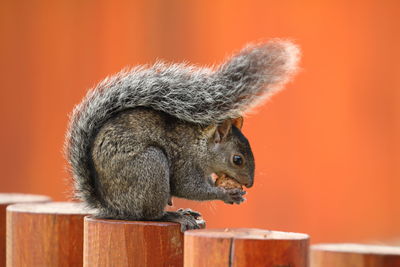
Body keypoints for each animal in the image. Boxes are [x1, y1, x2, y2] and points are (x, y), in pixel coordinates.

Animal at [64, 40, 298, 232]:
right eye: (237, 159)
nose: (249, 184)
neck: (199, 145)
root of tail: (111, 206)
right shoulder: (185, 163)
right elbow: (189, 188)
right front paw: (226, 194)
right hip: (151, 167)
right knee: (150, 215)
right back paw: (173, 215)